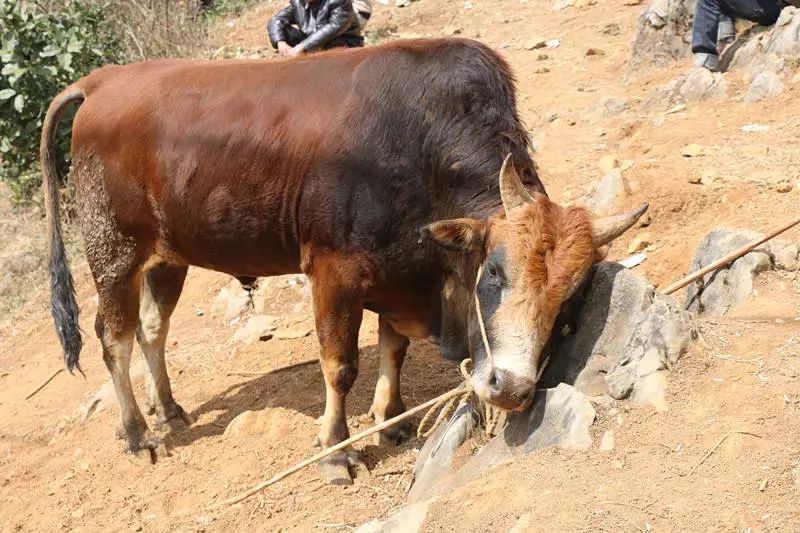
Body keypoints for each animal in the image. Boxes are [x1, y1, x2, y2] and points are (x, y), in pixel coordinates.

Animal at [42, 39, 644, 484]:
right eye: (494, 271)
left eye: (569, 295)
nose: (511, 388)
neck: (420, 152)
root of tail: (103, 82)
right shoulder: (335, 274)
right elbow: (341, 366)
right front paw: (336, 451)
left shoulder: (400, 273)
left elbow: (393, 351)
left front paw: (390, 420)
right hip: (113, 253)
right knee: (115, 340)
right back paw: (138, 433)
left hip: (168, 257)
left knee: (152, 329)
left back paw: (168, 409)